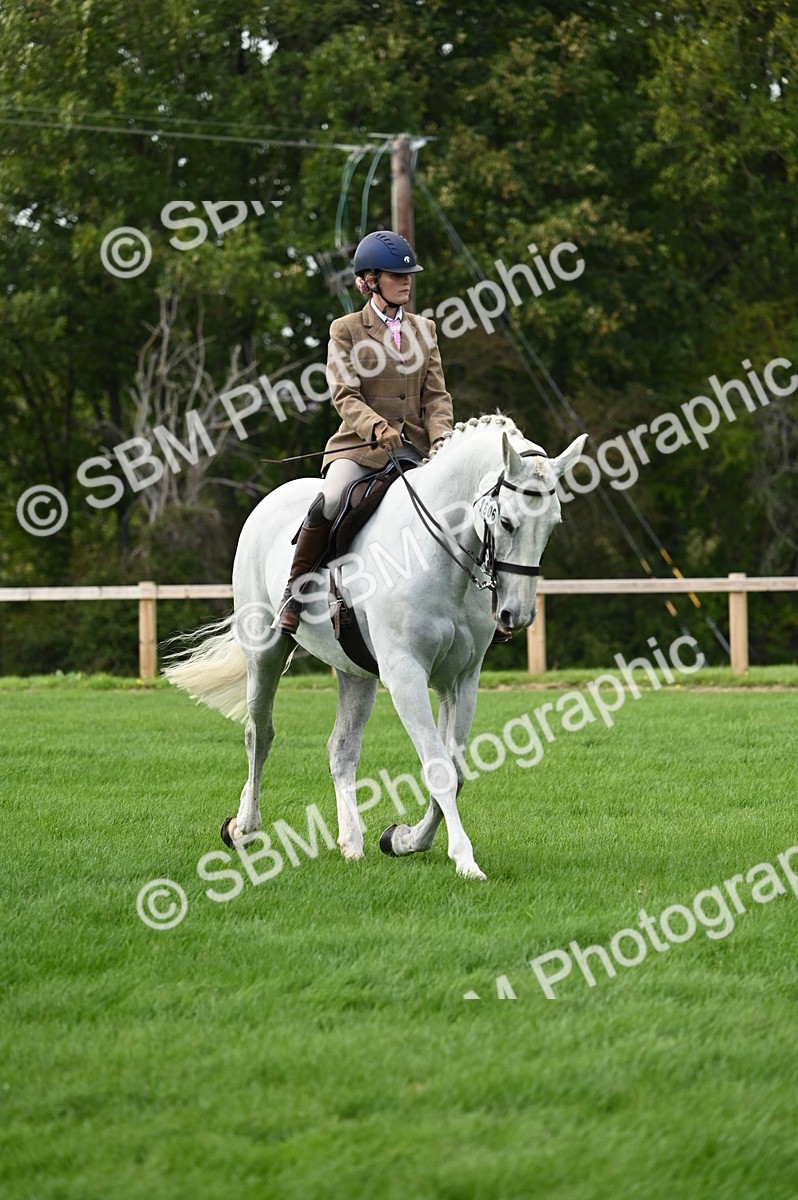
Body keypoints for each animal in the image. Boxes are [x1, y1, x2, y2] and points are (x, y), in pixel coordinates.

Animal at [165, 414, 586, 880]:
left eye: (553, 524)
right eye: (508, 522)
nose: (518, 614)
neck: (437, 554)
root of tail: (269, 501)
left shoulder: (460, 680)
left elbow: (455, 770)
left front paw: (403, 839)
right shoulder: (405, 674)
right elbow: (438, 769)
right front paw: (464, 859)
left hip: (354, 673)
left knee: (342, 749)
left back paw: (351, 842)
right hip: (266, 653)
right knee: (260, 733)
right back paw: (243, 829)